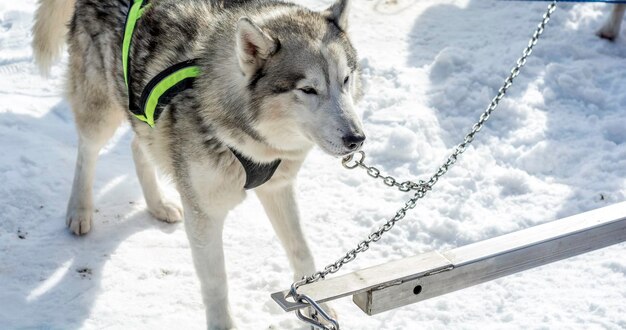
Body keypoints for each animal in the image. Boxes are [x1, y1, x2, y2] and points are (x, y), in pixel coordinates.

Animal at [34, 0, 364, 328]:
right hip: (100, 111)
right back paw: (79, 211)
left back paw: (157, 205)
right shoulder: (204, 213)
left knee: (138, 147)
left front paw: (315, 308)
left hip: (146, 120)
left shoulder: (277, 187)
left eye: (346, 80)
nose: (357, 139)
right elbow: (216, 281)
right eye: (308, 89)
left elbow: (301, 251)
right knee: (87, 152)